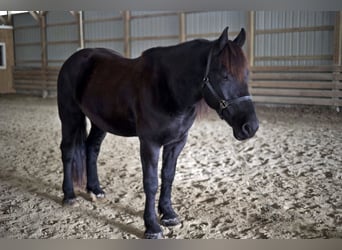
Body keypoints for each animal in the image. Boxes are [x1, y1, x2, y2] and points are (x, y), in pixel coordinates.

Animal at [56, 26, 260, 238]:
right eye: (224, 75)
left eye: (246, 74)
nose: (250, 127)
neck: (168, 89)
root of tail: (75, 59)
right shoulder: (150, 143)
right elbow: (151, 182)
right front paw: (152, 226)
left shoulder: (177, 142)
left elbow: (168, 176)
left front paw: (168, 214)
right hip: (70, 115)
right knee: (68, 151)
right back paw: (69, 195)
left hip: (100, 122)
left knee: (92, 148)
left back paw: (95, 189)